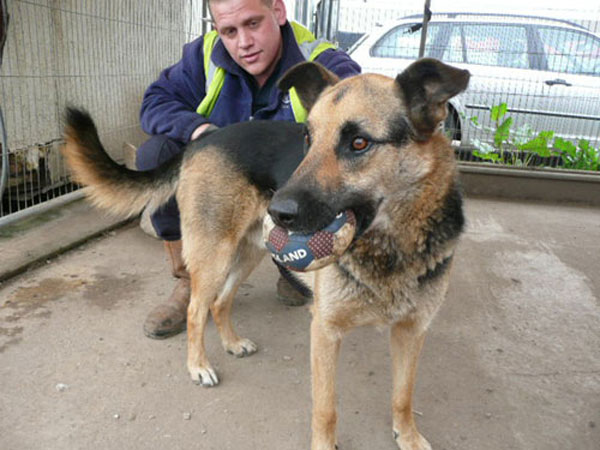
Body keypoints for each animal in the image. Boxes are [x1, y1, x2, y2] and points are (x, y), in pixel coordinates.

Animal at [63, 58, 472, 448]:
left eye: (359, 143)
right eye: (308, 138)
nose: (279, 211)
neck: (391, 245)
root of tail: (200, 141)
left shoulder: (411, 331)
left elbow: (403, 396)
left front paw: (409, 437)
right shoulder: (325, 331)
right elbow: (326, 408)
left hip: (248, 253)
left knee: (219, 302)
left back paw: (232, 343)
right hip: (215, 253)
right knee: (196, 309)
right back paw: (198, 366)